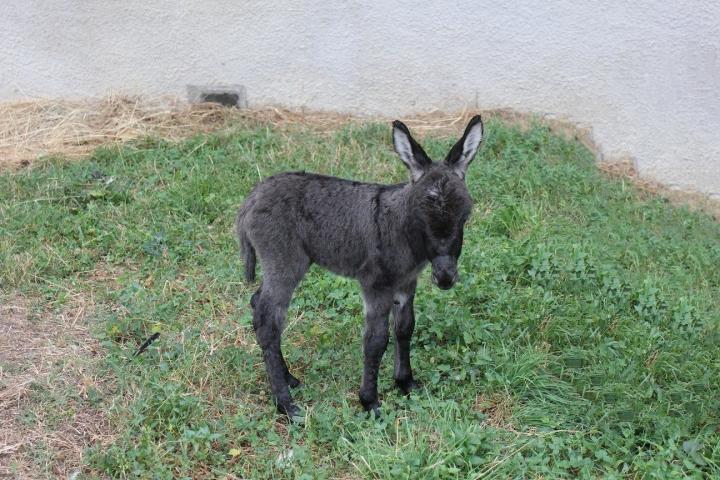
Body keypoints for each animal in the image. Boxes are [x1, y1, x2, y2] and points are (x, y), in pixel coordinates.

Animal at [236, 114, 484, 418]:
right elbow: (375, 341)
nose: (446, 278)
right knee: (268, 321)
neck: (402, 231)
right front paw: (370, 402)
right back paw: (285, 404)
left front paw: (406, 383)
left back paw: (289, 378)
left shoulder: (406, 284)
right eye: (420, 216)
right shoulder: (375, 285)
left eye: (465, 216)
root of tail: (253, 196)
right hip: (285, 263)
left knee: (258, 303)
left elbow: (405, 328)